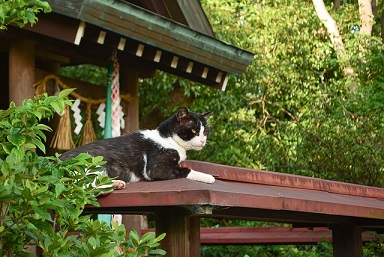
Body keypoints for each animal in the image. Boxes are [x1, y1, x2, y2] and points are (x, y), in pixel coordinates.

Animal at [61, 106, 214, 190]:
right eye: (194, 131)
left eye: (205, 131)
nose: (203, 140)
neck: (167, 138)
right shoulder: (155, 168)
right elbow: (186, 170)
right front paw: (208, 177)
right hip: (93, 167)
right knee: (86, 187)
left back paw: (117, 184)